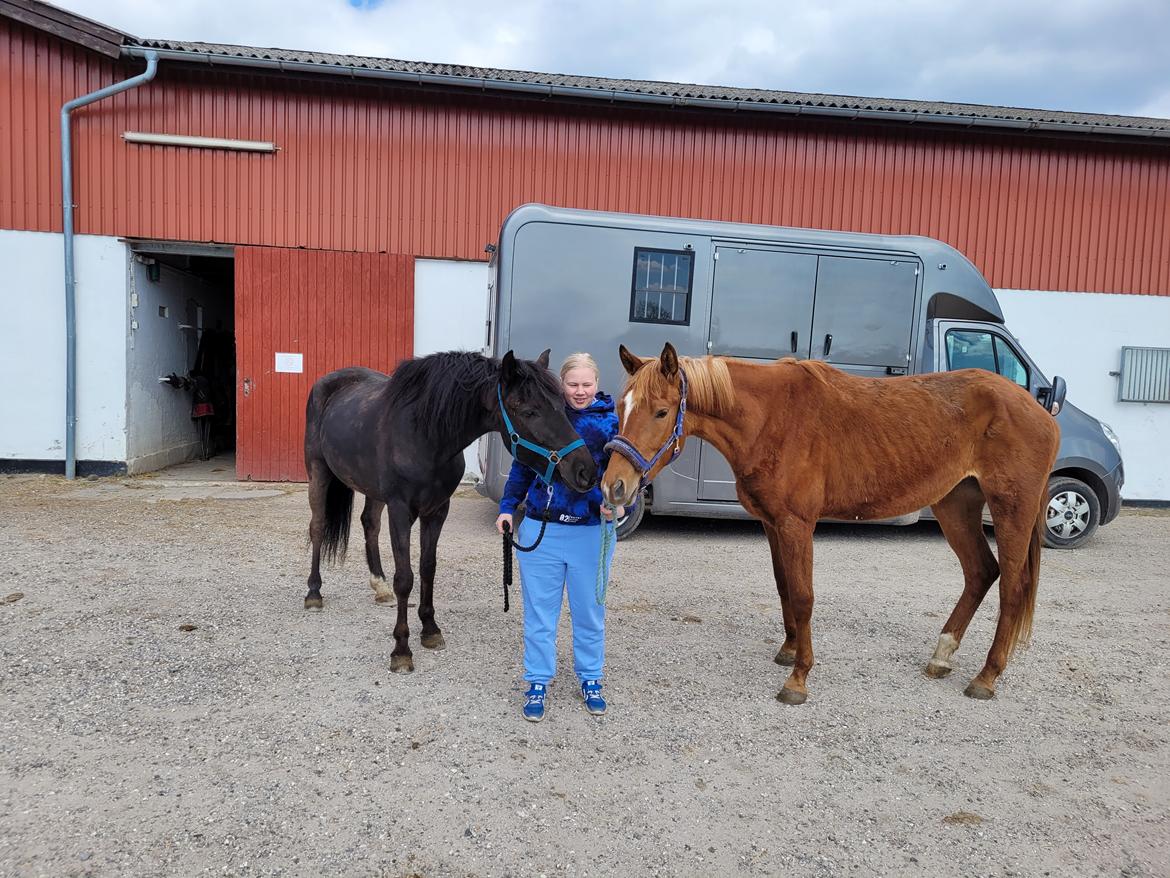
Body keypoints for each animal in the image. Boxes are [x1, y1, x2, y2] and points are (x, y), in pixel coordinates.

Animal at [303, 349, 597, 673]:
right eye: (529, 411)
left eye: (562, 406)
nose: (586, 470)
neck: (424, 435)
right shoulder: (400, 510)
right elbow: (405, 578)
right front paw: (401, 649)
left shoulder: (437, 510)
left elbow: (427, 568)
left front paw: (430, 629)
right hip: (318, 471)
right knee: (318, 526)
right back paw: (314, 593)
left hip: (372, 489)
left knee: (369, 524)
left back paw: (380, 587)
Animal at [602, 342, 1060, 704]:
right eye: (621, 407)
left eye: (662, 412)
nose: (615, 486)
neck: (772, 417)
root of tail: (1043, 412)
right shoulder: (773, 524)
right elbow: (784, 587)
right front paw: (788, 651)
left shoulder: (797, 524)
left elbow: (804, 596)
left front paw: (798, 678)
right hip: (955, 504)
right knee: (980, 572)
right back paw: (942, 654)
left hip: (1011, 511)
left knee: (1012, 587)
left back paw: (986, 676)